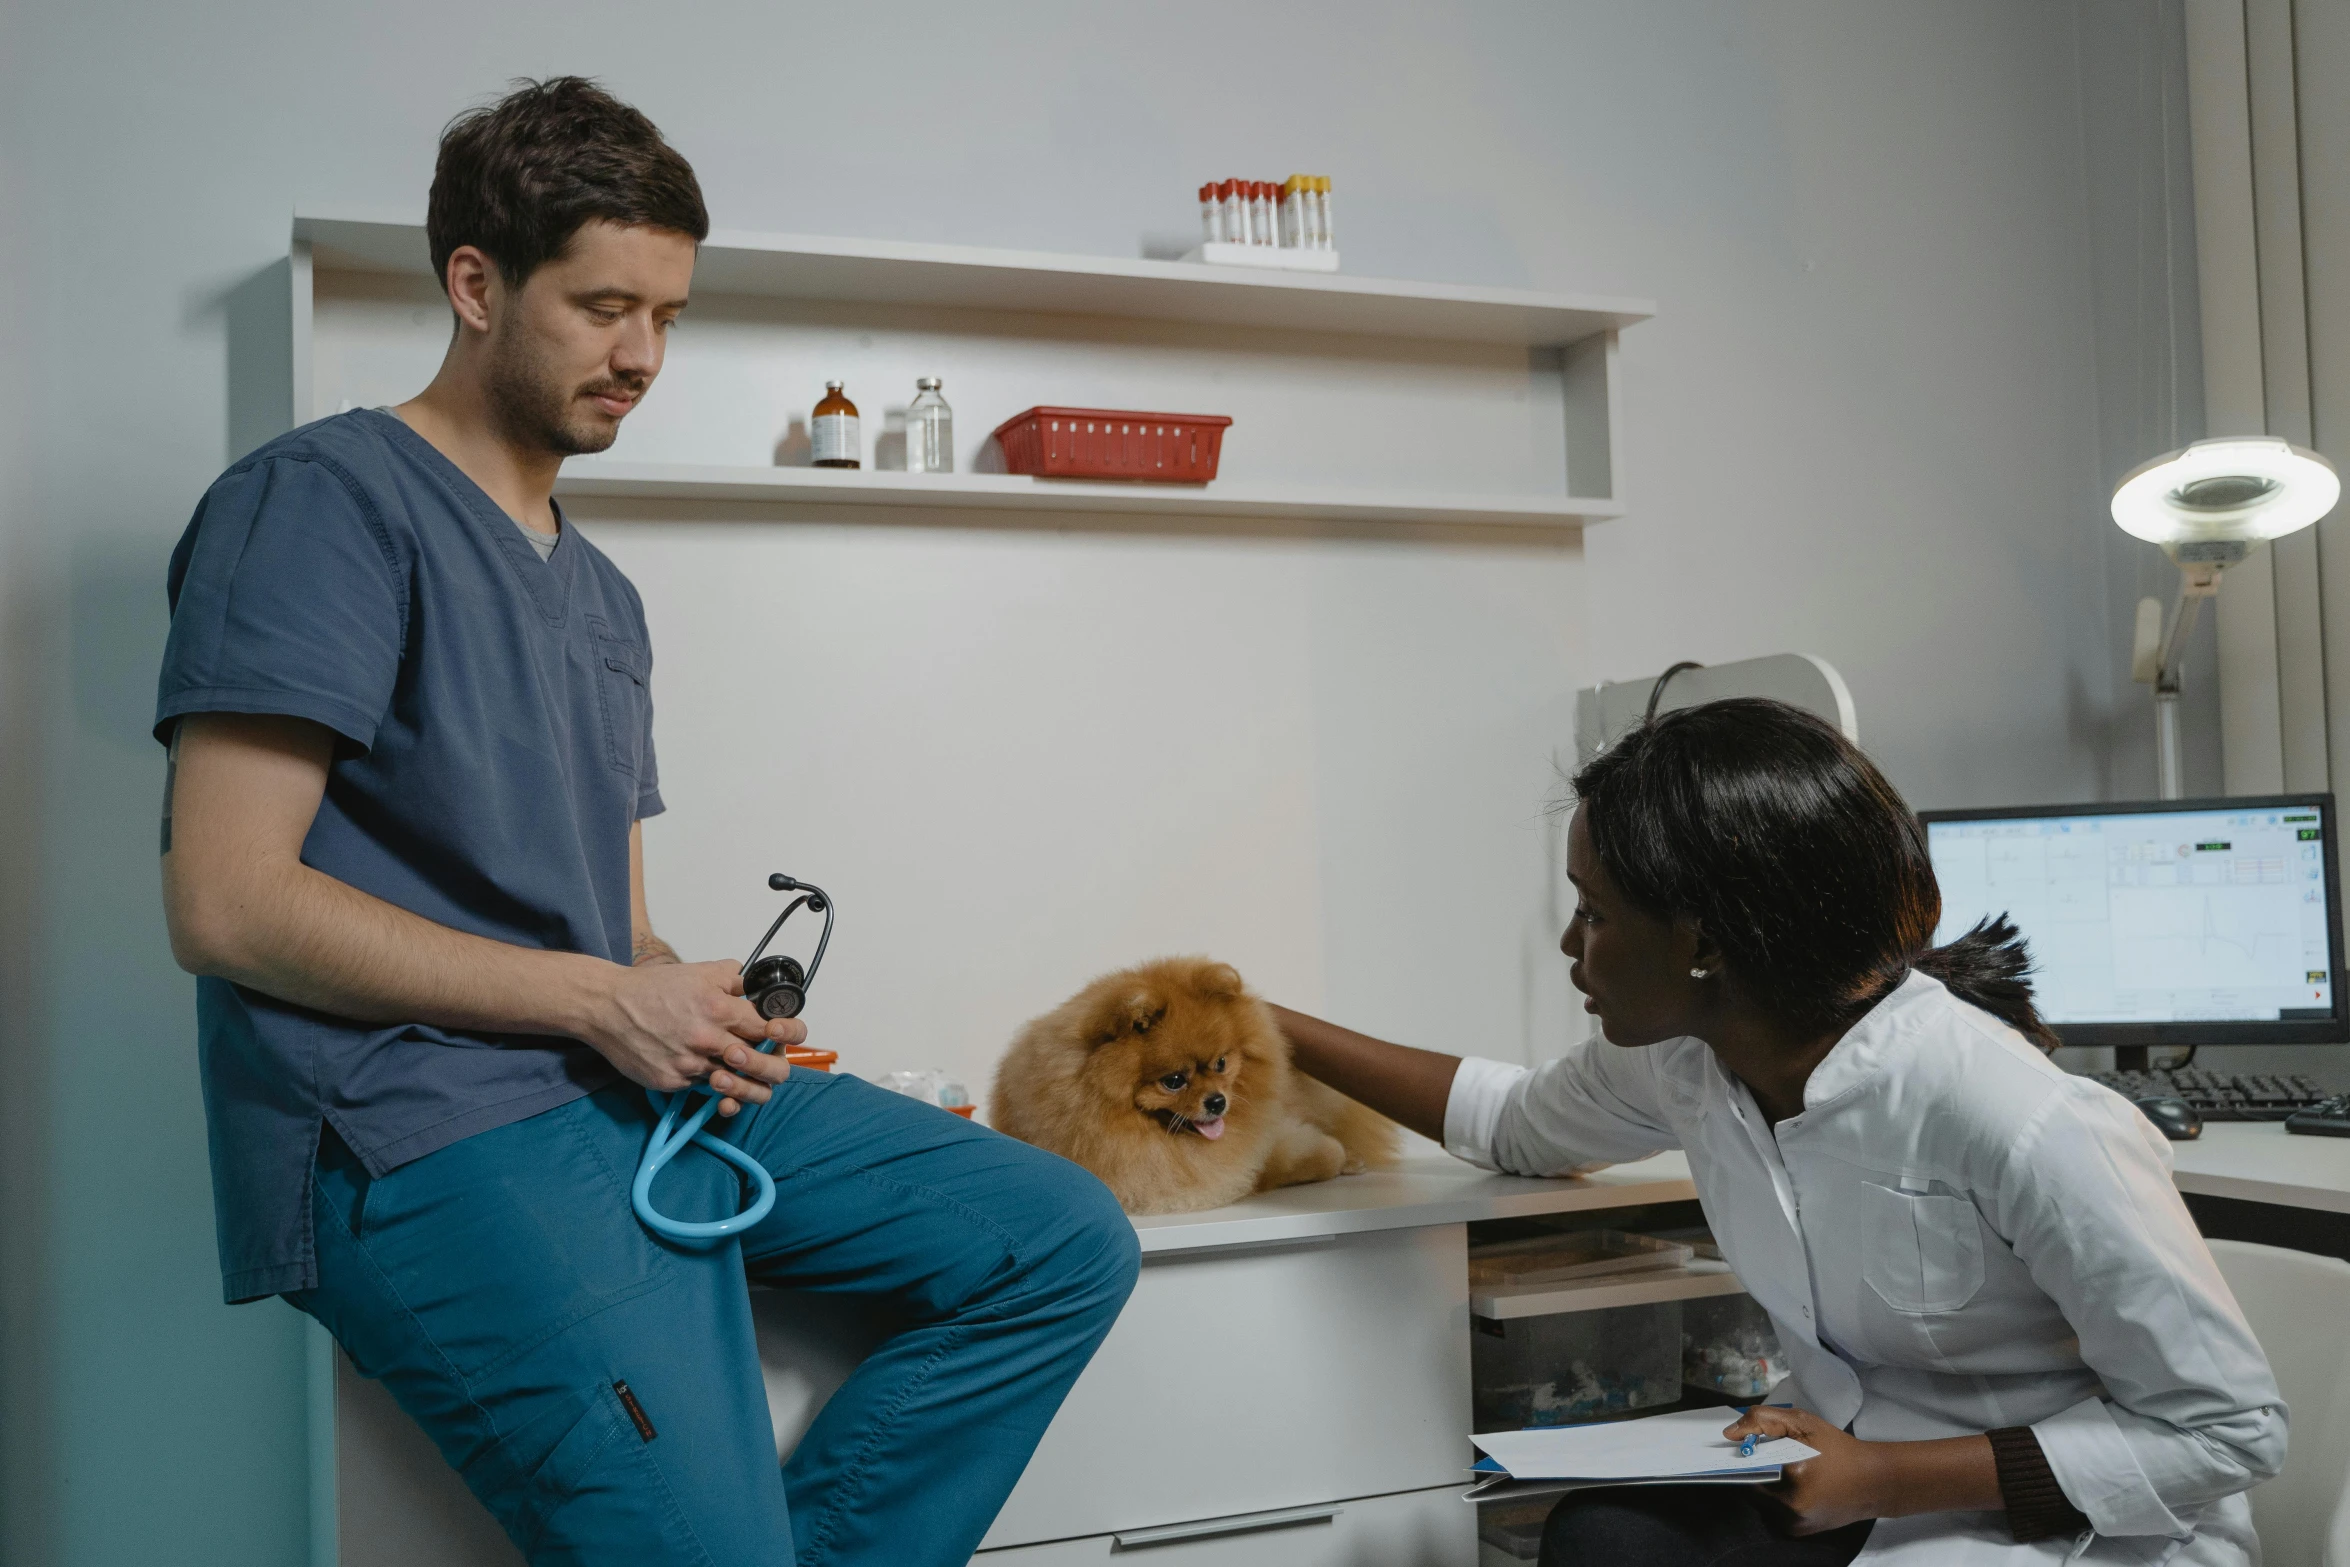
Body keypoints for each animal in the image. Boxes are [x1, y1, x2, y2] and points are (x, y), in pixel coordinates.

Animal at [986, 949, 1391, 1221]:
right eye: (1174, 1081)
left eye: (1221, 1063)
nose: (1217, 1101)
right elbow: (1308, 1159)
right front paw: (1335, 1157)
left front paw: (1345, 1157)